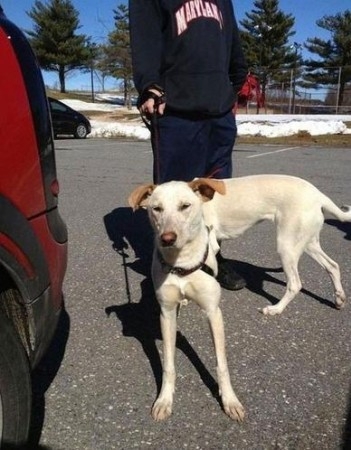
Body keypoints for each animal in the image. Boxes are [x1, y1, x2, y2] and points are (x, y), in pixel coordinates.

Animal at [128, 178, 246, 422]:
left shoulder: (213, 312)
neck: (180, 264)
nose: (167, 238)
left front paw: (230, 400)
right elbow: (168, 364)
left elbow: (222, 364)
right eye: (157, 209)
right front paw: (164, 399)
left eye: (185, 206)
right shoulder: (166, 314)